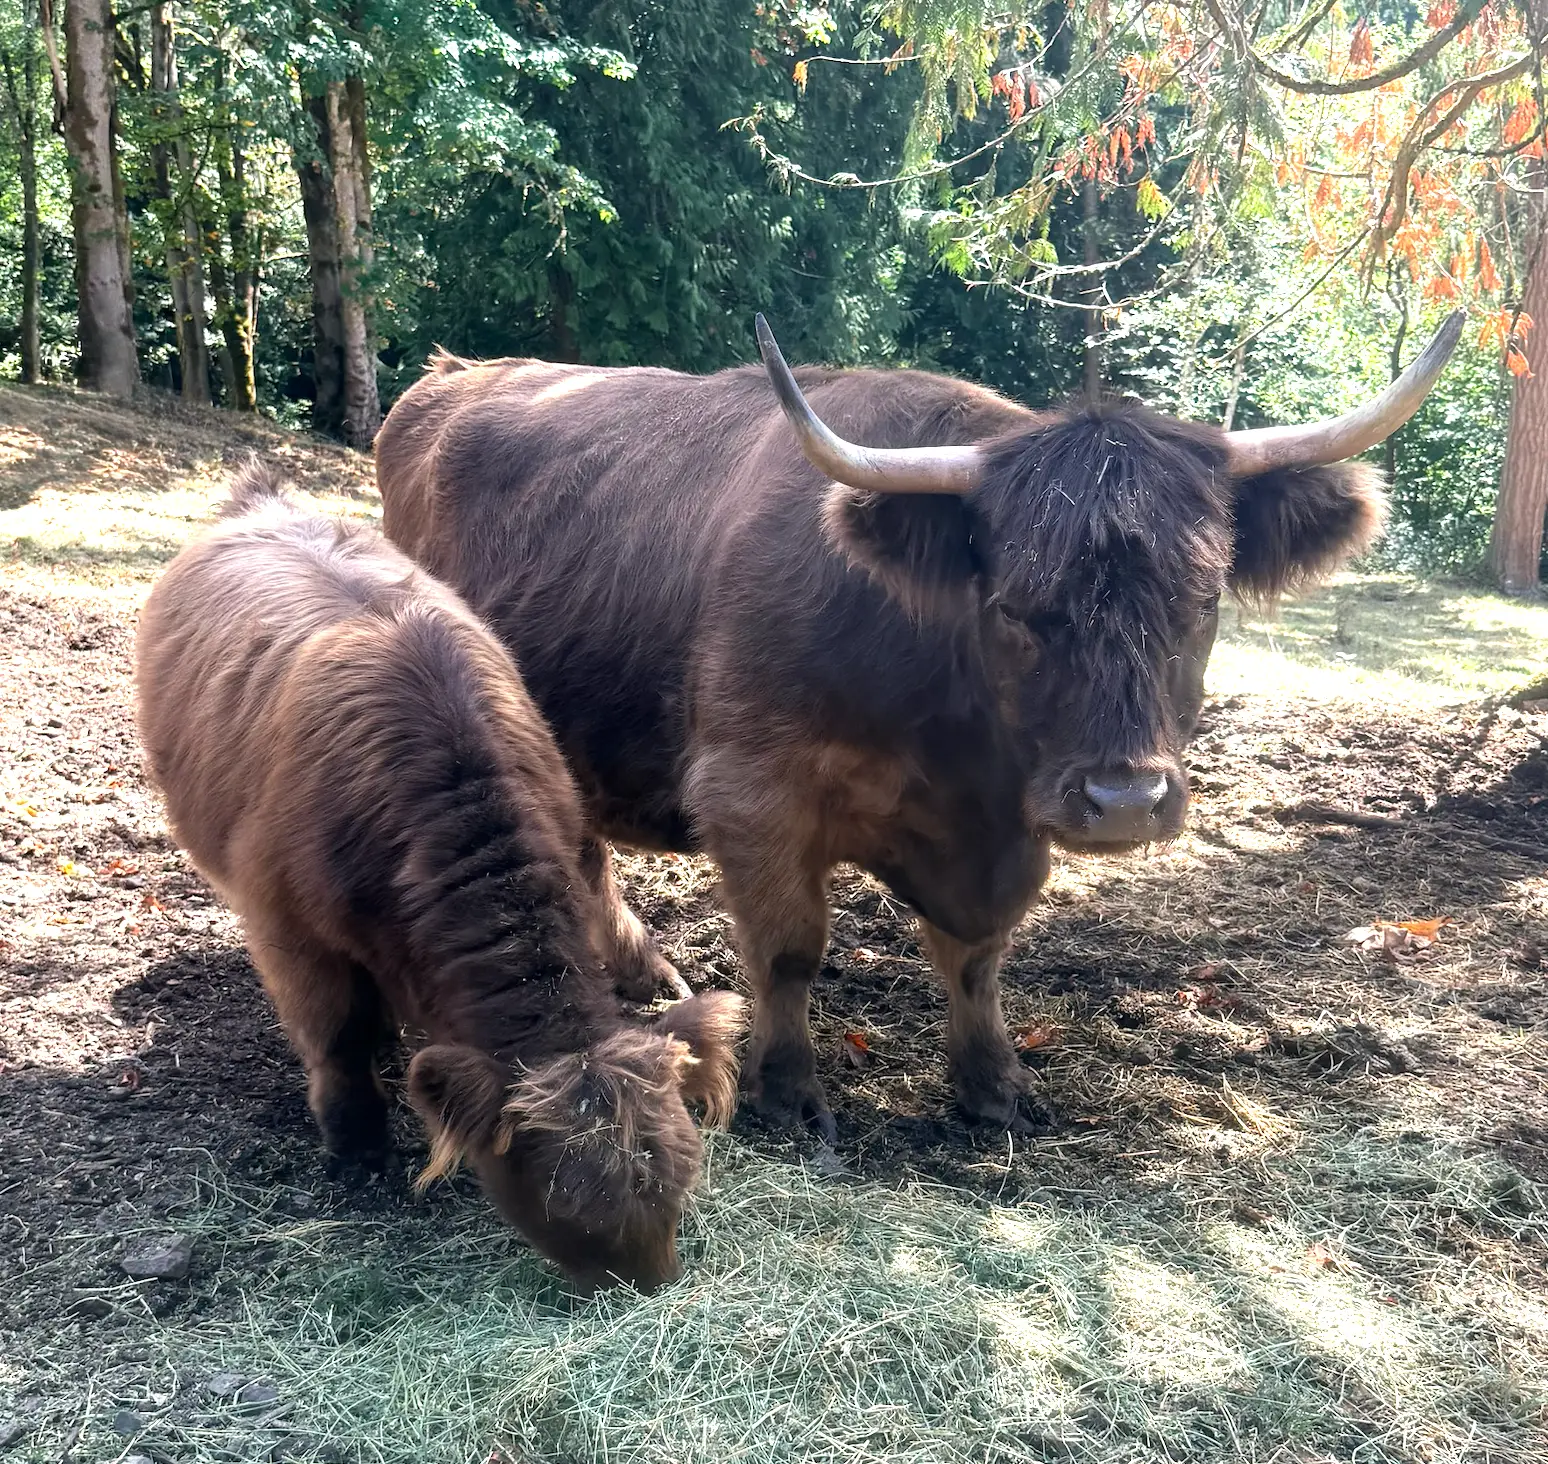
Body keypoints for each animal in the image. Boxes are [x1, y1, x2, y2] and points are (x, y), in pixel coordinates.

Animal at [134, 462, 744, 1291]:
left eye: (679, 1183)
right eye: (563, 1205)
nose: (648, 1286)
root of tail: (261, 500)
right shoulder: (287, 928)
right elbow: (337, 1032)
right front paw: (357, 1146)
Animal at [374, 310, 1463, 1139]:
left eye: (1201, 604)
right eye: (1017, 608)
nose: (1123, 799)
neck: (958, 754)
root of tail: (454, 375)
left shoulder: (1005, 831)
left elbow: (977, 955)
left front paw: (992, 1086)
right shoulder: (750, 791)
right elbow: (790, 949)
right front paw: (790, 1094)